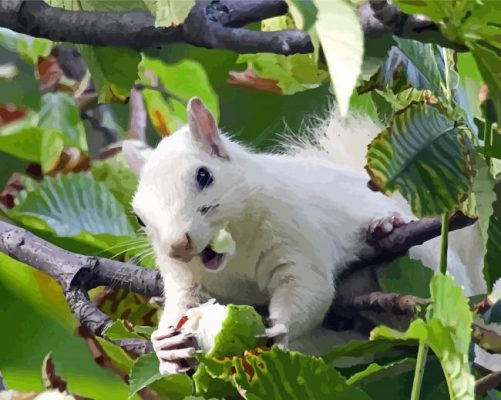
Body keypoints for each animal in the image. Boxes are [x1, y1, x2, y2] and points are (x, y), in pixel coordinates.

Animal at [122, 96, 484, 376]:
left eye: (203, 175)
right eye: (140, 216)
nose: (177, 247)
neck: (235, 261)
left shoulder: (293, 236)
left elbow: (308, 290)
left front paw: (278, 327)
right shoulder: (184, 280)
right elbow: (180, 306)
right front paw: (166, 348)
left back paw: (385, 227)